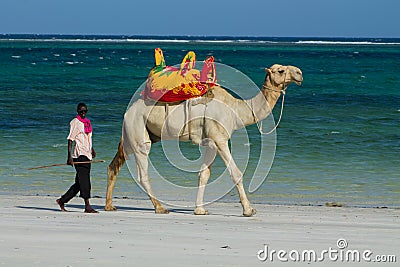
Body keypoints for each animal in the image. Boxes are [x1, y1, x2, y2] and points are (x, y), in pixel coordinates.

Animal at [104, 63, 302, 218]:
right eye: (281, 70)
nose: (299, 73)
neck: (236, 110)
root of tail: (128, 111)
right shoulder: (220, 139)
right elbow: (236, 173)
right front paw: (248, 210)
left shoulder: (211, 143)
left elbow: (203, 175)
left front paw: (199, 210)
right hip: (138, 131)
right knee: (142, 171)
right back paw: (160, 208)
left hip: (138, 134)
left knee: (115, 164)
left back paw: (109, 205)